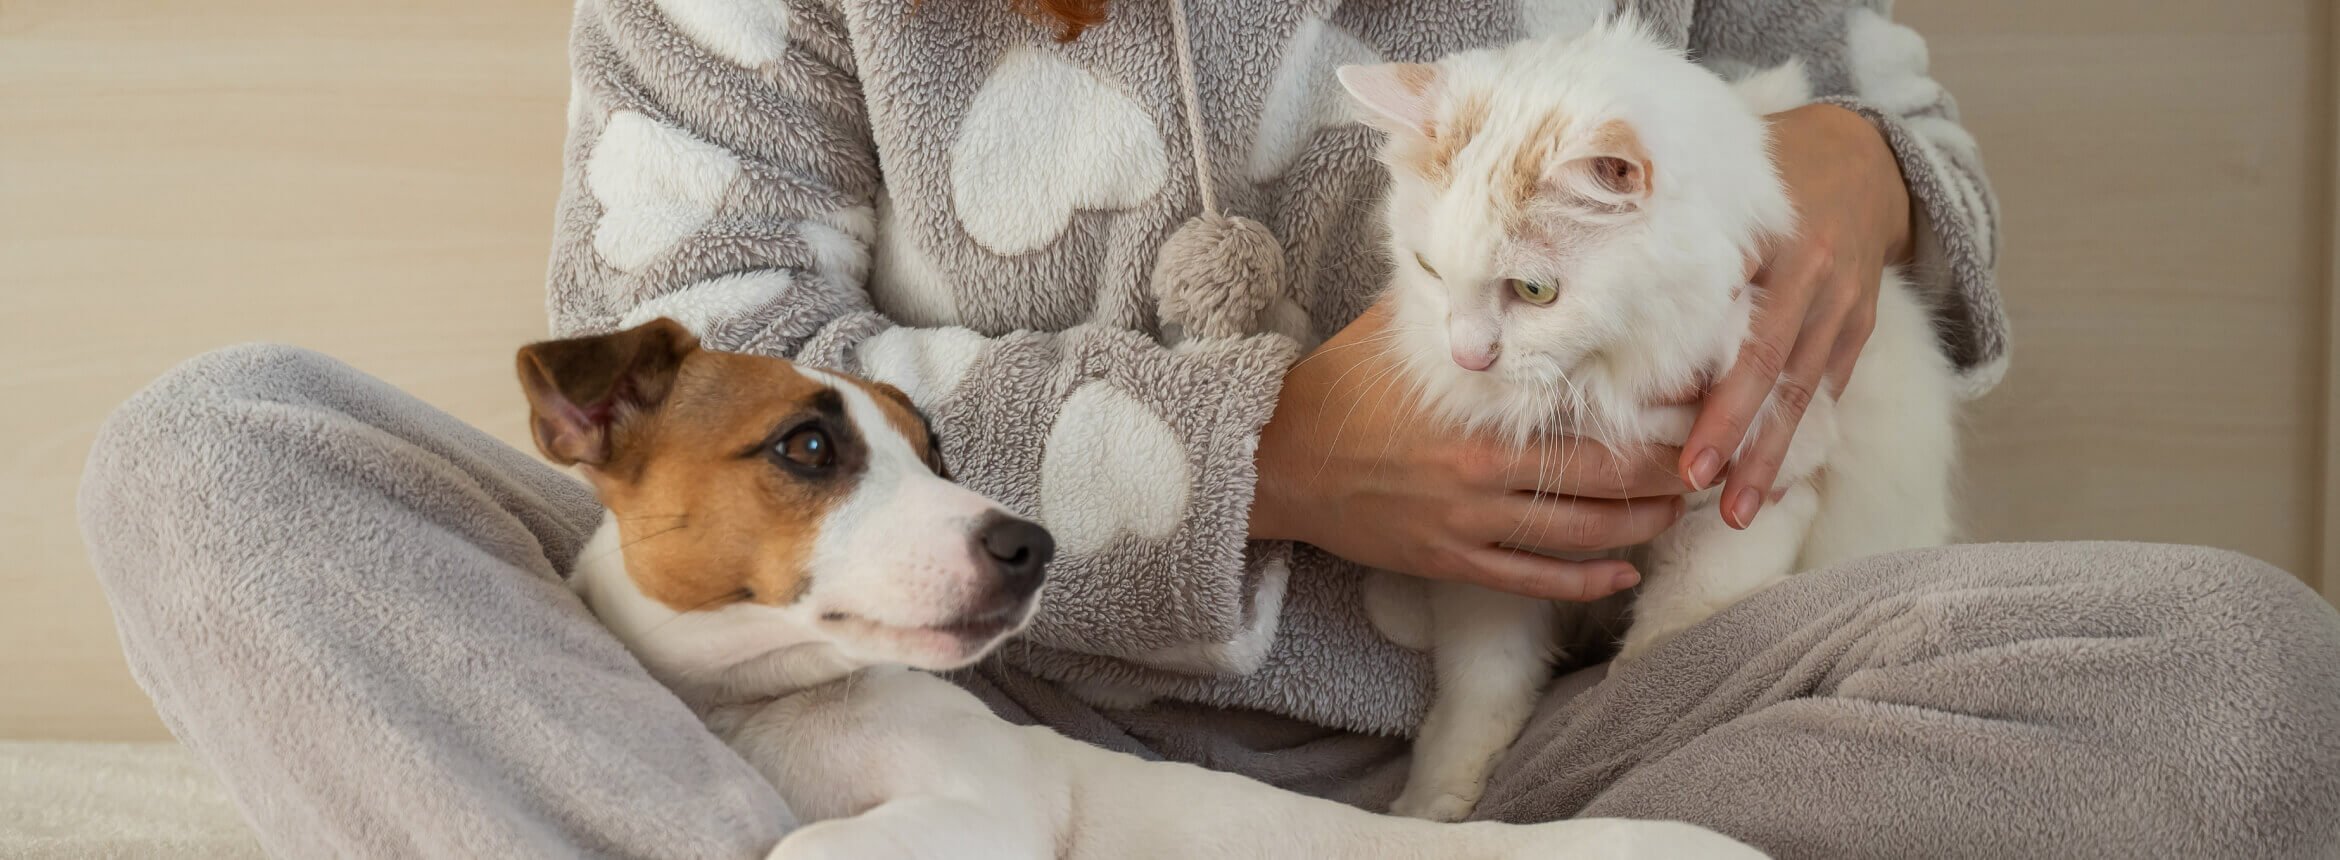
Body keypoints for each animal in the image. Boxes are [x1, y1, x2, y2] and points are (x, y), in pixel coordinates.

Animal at [512, 320, 1759, 855]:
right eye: (808, 446)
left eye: (935, 448)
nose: (1033, 544)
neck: (773, 701)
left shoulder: (985, 811)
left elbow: (803, 845)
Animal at [1338, 18, 1956, 817]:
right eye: (1429, 270)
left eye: (1534, 291)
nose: (1468, 358)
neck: (1600, 387)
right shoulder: (1494, 553)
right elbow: (1481, 692)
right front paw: (1434, 807)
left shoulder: (1748, 504)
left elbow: (1661, 659)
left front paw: (1621, 735)